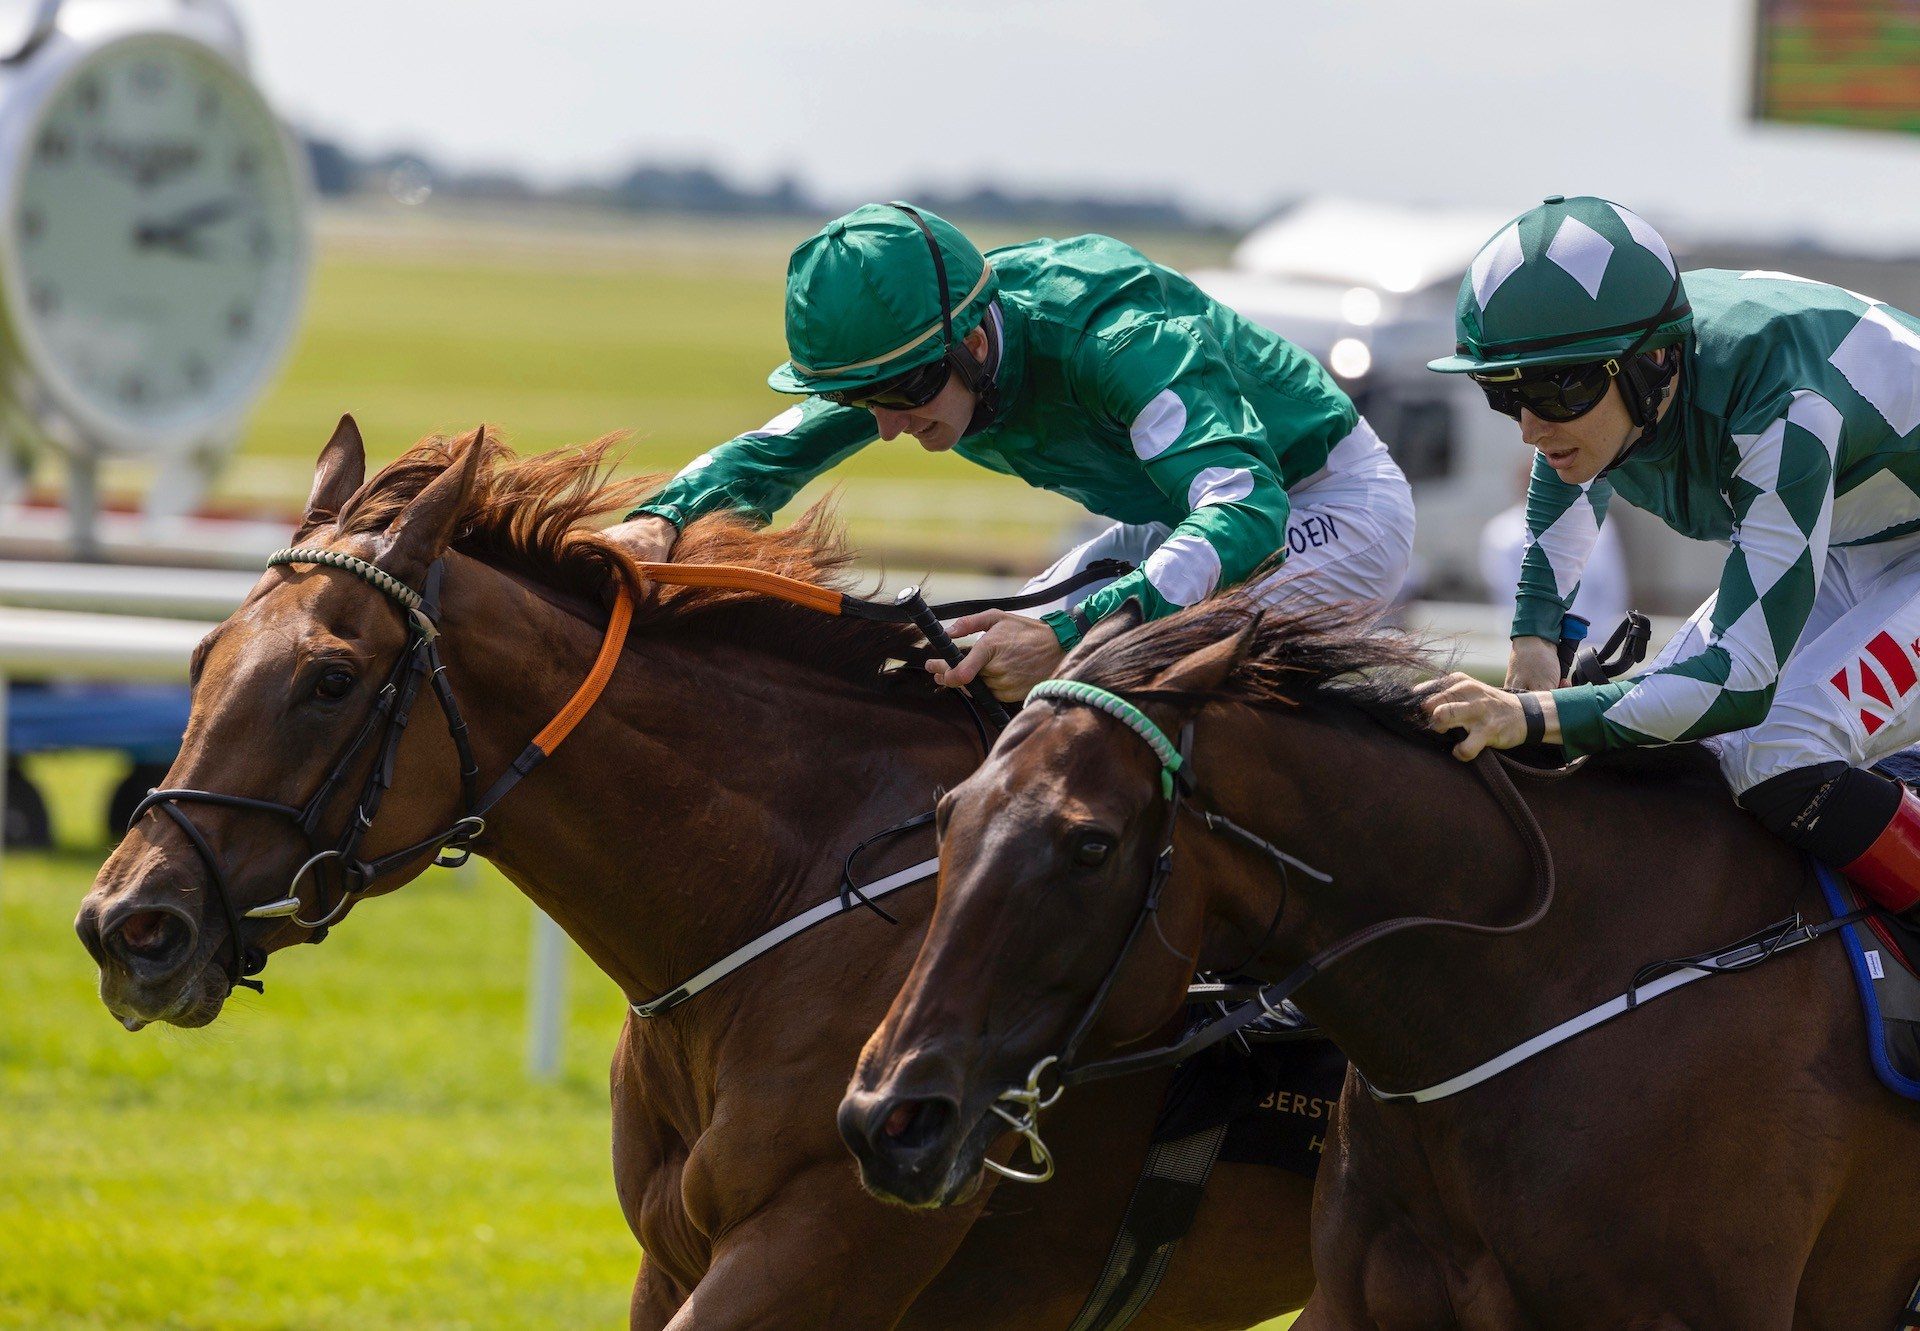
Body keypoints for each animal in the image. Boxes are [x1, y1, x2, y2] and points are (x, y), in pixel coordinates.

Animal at [82, 418, 1328, 1329]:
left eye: (330, 679)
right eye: (201, 656)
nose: (126, 922)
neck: (790, 893)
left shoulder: (829, 1239)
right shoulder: (673, 1248)